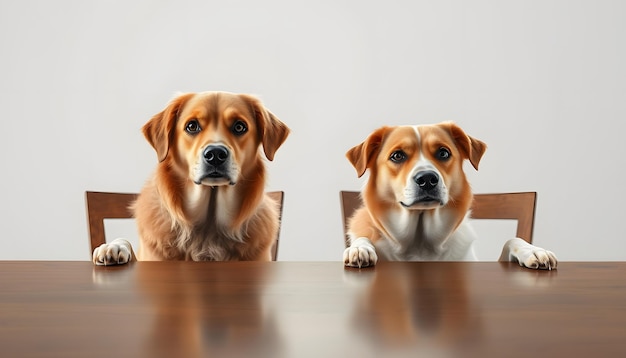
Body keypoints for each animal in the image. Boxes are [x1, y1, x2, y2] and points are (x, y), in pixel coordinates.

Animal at [342, 121, 556, 270]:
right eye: (397, 156)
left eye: (443, 153)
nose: (427, 179)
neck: (420, 243)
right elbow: (362, 238)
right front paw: (358, 249)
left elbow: (512, 240)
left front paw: (533, 250)